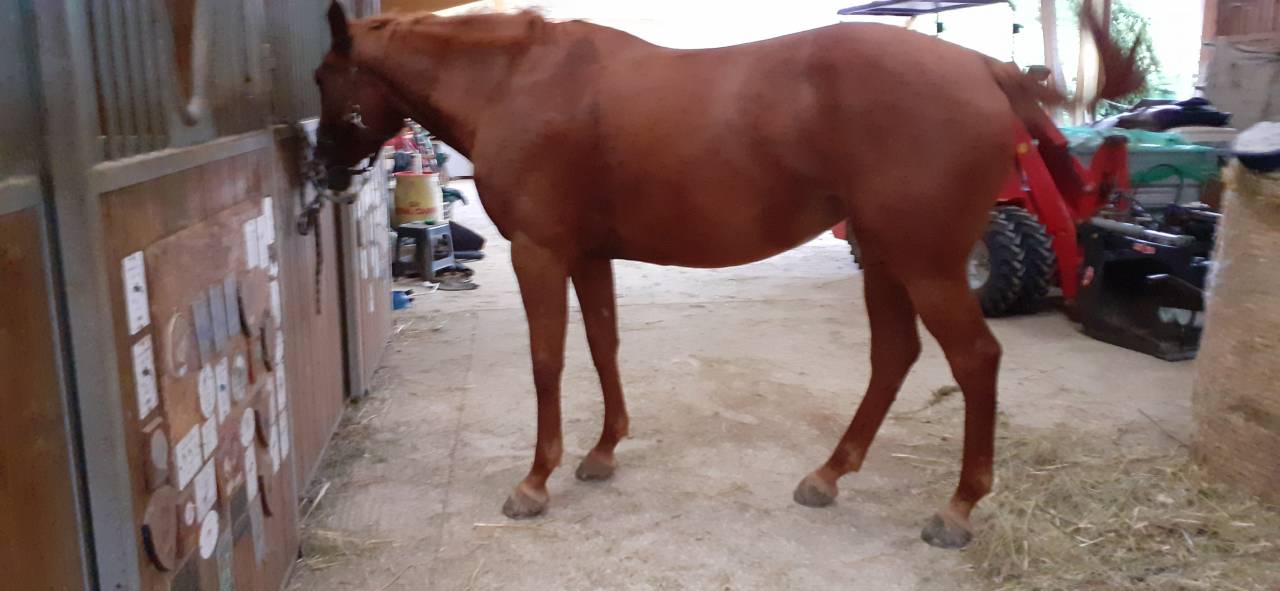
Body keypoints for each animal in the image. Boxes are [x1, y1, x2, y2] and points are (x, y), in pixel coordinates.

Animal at [313, 1, 1141, 548]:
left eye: (324, 77)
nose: (320, 171)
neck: (516, 81)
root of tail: (988, 68)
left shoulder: (540, 252)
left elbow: (548, 360)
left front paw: (535, 481)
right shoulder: (589, 255)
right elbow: (604, 347)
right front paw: (603, 452)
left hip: (927, 264)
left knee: (973, 359)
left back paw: (957, 507)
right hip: (883, 256)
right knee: (894, 355)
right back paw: (828, 475)